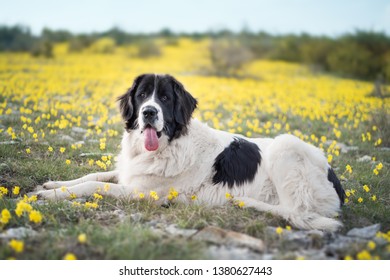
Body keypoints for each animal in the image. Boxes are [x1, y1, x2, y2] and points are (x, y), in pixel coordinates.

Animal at [36, 73, 346, 231]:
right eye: (142, 95)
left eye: (164, 98)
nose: (149, 112)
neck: (170, 144)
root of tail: (336, 181)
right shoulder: (130, 173)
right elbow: (95, 174)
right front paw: (54, 184)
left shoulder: (144, 192)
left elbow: (95, 185)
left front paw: (51, 195)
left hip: (286, 146)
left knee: (296, 212)